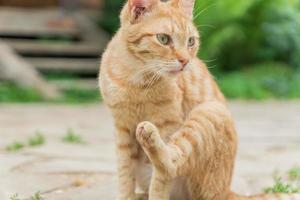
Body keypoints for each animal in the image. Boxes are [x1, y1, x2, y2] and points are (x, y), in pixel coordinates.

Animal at [99, 0, 300, 200]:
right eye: (163, 39)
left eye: (191, 41)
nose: (185, 60)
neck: (136, 78)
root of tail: (226, 190)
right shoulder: (121, 130)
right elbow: (125, 174)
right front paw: (126, 196)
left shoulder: (168, 125)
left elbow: (160, 182)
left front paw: (155, 195)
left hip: (208, 113)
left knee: (170, 166)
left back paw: (149, 137)